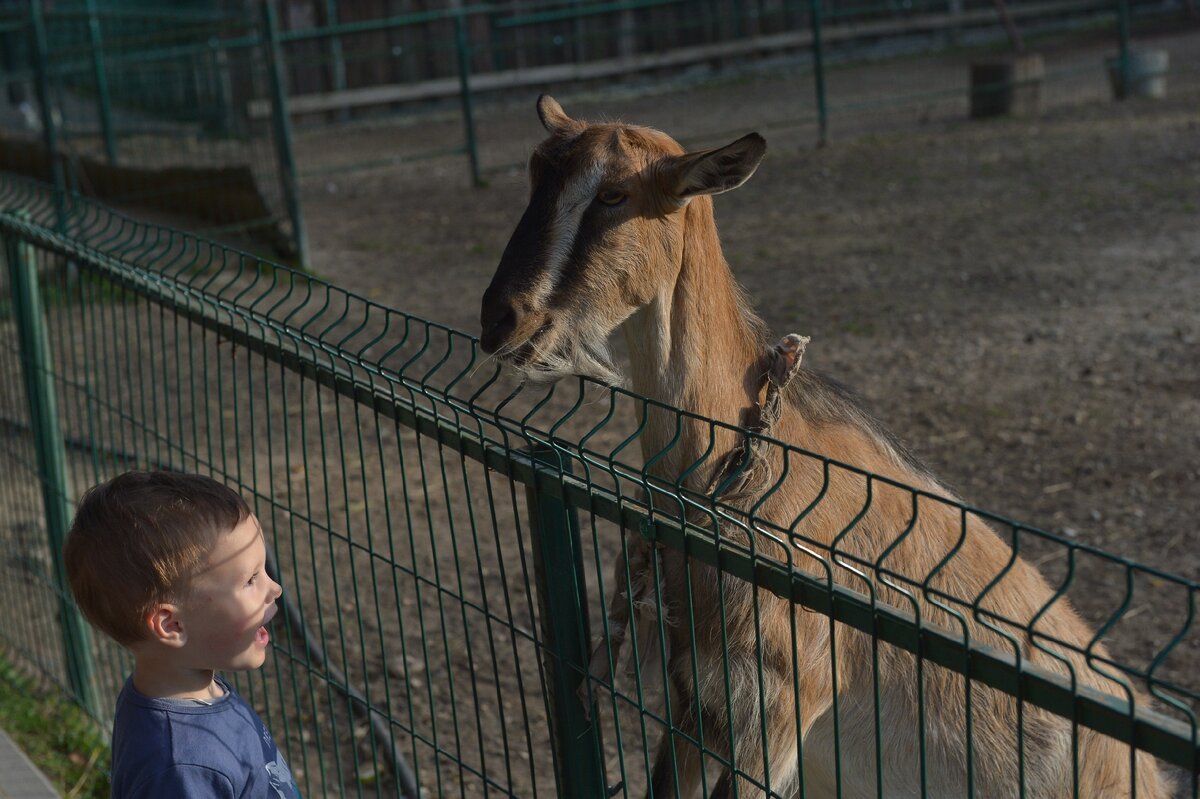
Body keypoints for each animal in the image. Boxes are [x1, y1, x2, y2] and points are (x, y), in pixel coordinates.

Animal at [475, 94, 1161, 796]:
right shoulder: (697, 705)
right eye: (533, 176)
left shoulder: (773, 711)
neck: (741, 474)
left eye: (613, 194)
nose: (500, 319)